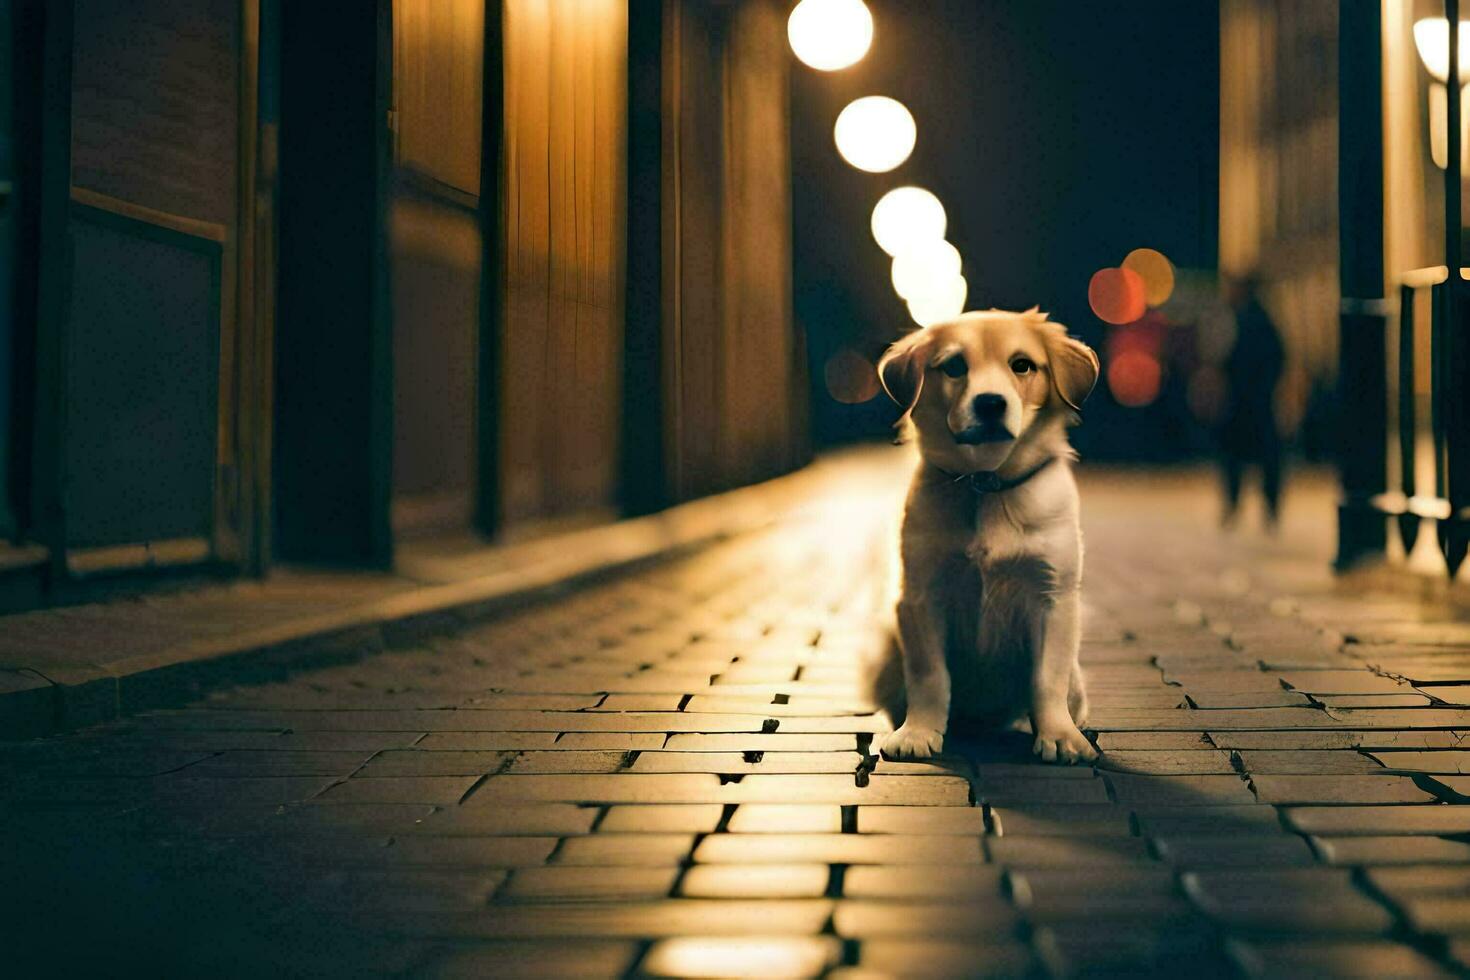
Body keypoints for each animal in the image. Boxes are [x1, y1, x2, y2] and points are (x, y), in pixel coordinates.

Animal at [864, 307, 1099, 764]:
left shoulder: (1054, 597)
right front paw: (919, 732)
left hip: (1078, 678)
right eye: (955, 366)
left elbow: (1047, 678)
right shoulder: (921, 595)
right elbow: (929, 674)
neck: (985, 484)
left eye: (1022, 364)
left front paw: (1059, 735)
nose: (991, 403)